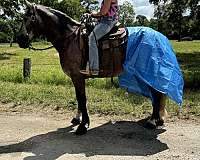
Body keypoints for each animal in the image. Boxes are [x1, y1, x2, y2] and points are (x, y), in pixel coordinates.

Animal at [16, 0, 167, 135]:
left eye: (27, 18)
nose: (20, 40)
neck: (70, 39)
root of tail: (159, 36)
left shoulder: (77, 76)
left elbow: (82, 98)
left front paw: (83, 125)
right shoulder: (75, 78)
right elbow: (78, 98)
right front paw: (77, 119)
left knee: (156, 93)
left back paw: (152, 122)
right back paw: (158, 120)